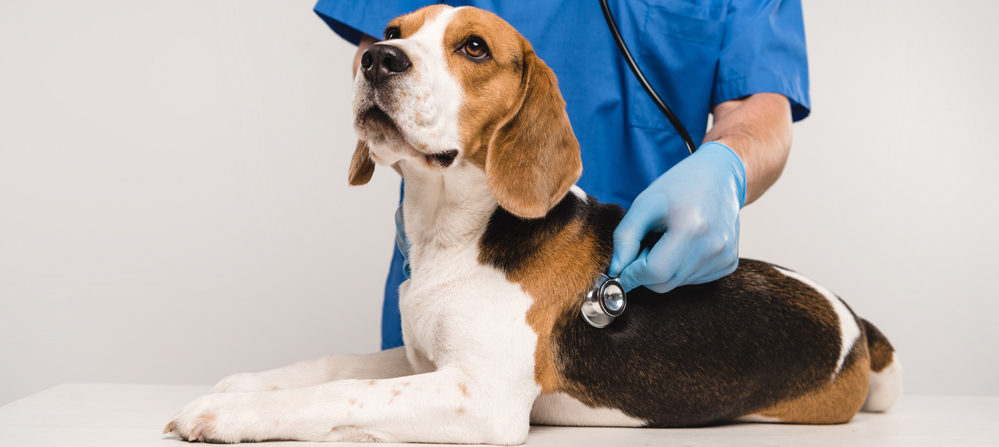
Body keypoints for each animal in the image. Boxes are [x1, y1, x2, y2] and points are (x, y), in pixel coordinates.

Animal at [162, 5, 900, 446]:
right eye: (393, 32)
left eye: (474, 48)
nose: (378, 60)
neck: (453, 235)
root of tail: (853, 320)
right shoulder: (421, 356)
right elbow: (332, 365)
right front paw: (245, 385)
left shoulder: (478, 395)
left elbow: (348, 391)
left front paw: (231, 413)